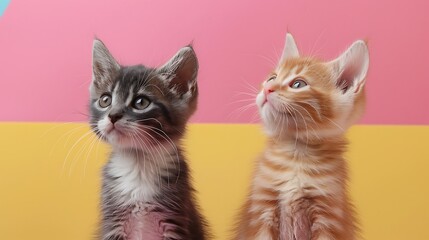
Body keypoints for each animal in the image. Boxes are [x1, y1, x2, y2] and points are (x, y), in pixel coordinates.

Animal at [88, 39, 207, 240]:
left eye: (141, 102)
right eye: (105, 100)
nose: (112, 116)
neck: (138, 164)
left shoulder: (174, 221)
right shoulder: (113, 224)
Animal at [232, 32, 370, 239]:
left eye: (298, 84)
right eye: (272, 78)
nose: (267, 89)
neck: (295, 157)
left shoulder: (330, 216)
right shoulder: (261, 209)